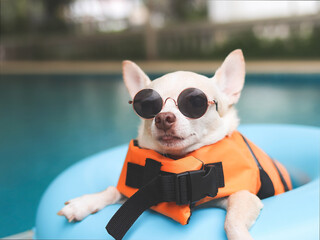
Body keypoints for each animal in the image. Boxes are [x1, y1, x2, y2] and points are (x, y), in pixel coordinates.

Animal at [58, 49, 264, 239]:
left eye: (196, 102)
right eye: (148, 105)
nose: (163, 118)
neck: (178, 160)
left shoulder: (244, 195)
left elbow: (232, 221)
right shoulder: (136, 191)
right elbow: (112, 190)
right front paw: (83, 203)